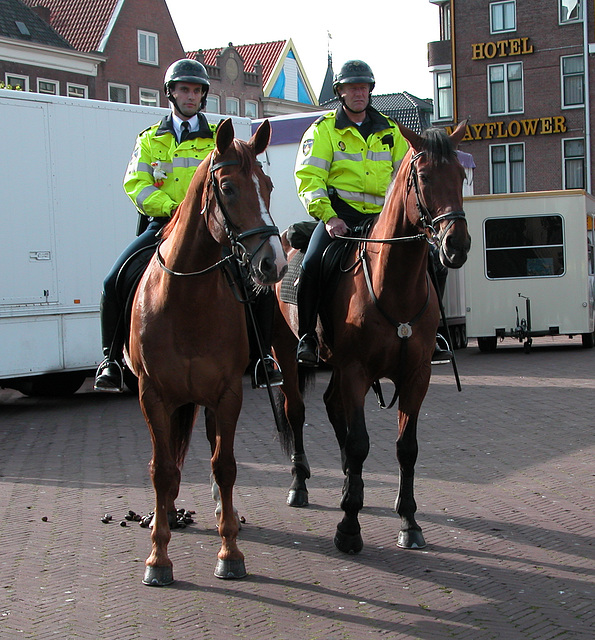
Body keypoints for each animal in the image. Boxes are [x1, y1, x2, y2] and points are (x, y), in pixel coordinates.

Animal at [128, 117, 288, 584]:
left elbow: (225, 465)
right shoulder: (152, 395)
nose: (274, 263)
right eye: (229, 188)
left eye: (268, 185)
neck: (187, 299)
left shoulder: (227, 394)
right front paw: (158, 558)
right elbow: (162, 469)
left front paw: (229, 551)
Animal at [272, 120, 472, 556]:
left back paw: (351, 483)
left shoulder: (415, 376)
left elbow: (405, 448)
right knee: (298, 411)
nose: (457, 244)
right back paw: (300, 484)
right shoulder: (356, 371)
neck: (392, 285)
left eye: (461, 176)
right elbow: (360, 443)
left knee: (334, 411)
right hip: (287, 354)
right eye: (424, 177)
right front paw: (349, 528)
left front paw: (409, 522)